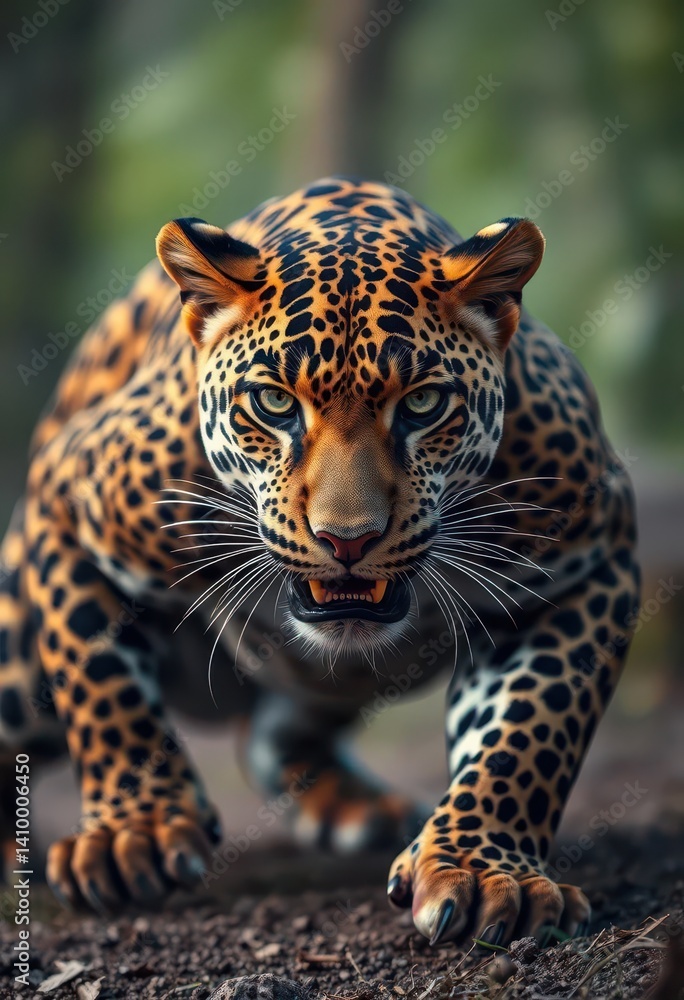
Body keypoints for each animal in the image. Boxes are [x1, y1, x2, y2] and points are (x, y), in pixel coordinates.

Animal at [0, 176, 639, 946]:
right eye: (274, 402)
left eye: (424, 402)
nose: (348, 540)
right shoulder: (64, 495)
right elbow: (101, 687)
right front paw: (137, 831)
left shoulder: (593, 560)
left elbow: (533, 729)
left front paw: (486, 869)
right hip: (16, 667)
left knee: (273, 733)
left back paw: (360, 806)